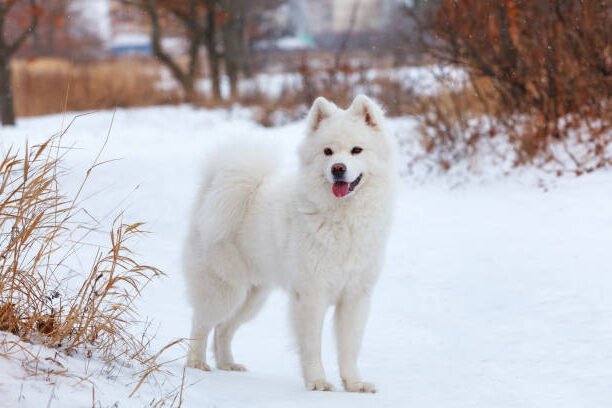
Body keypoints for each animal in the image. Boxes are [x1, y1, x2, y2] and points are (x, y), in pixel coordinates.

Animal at [183, 95, 396, 392]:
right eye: (328, 151)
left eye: (357, 150)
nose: (338, 169)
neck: (342, 219)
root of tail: (211, 190)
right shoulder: (311, 295)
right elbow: (312, 346)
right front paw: (318, 382)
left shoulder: (355, 297)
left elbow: (349, 348)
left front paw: (354, 384)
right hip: (224, 291)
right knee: (201, 323)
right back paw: (196, 363)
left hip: (253, 297)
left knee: (223, 329)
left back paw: (228, 364)